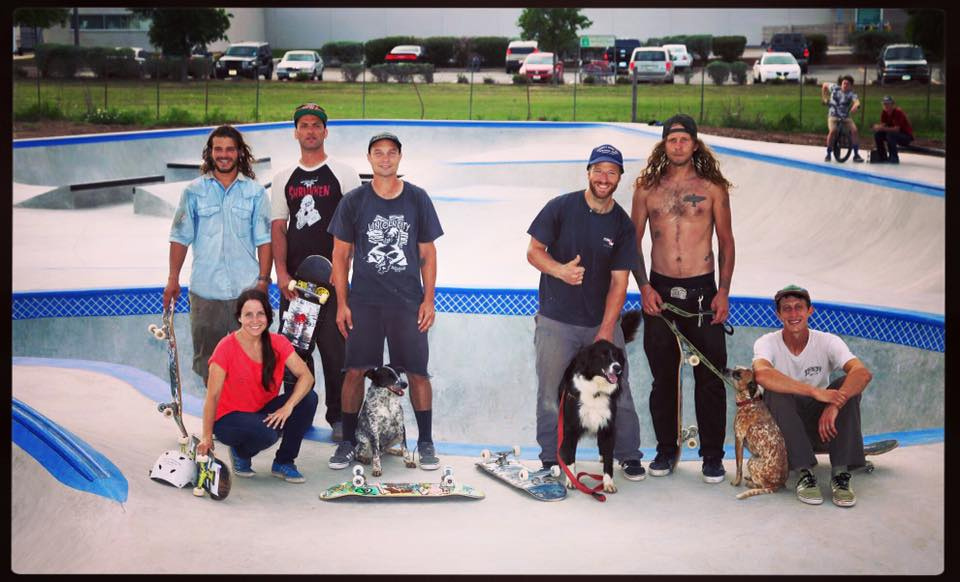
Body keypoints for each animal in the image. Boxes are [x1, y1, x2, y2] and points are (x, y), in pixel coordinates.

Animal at [560, 310, 640, 498]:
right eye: (602, 356)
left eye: (616, 356)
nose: (617, 368)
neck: (596, 388)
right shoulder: (571, 427)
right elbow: (570, 456)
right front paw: (571, 479)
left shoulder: (608, 426)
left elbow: (609, 460)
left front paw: (608, 483)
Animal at [728, 372, 788, 500]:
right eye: (735, 369)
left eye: (738, 375)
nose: (723, 369)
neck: (750, 401)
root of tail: (776, 485)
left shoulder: (738, 439)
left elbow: (738, 467)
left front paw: (736, 482)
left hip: (751, 462)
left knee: (761, 485)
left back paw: (750, 483)